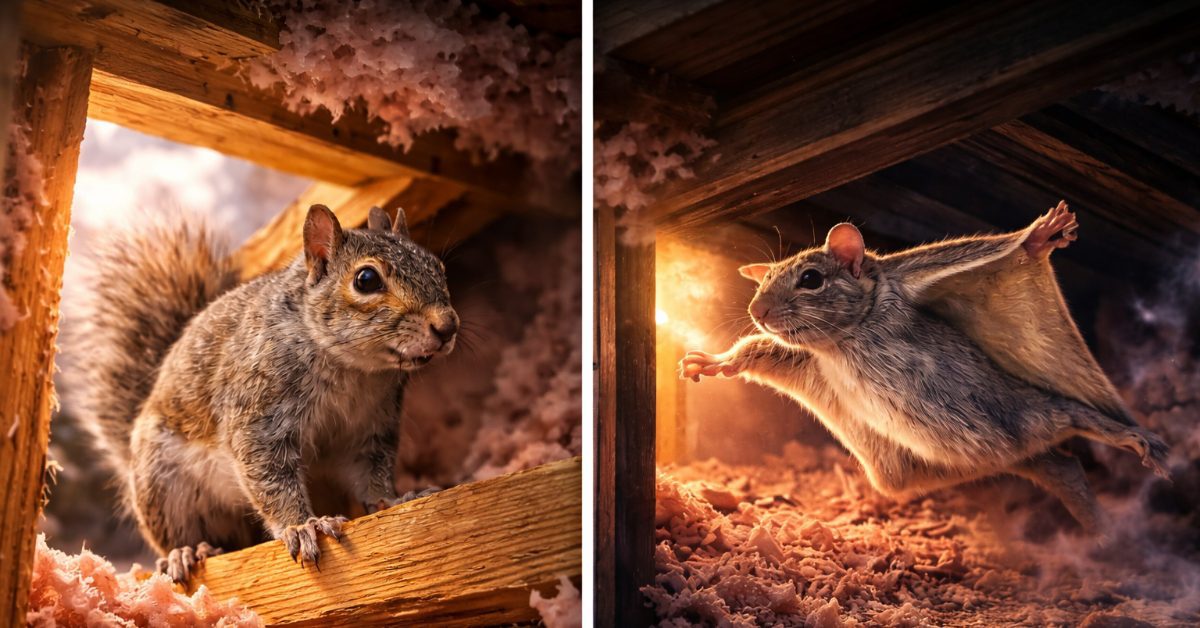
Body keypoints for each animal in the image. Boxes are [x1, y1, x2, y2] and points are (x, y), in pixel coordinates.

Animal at [69, 205, 457, 582]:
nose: (447, 326)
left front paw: (394, 500)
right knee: (181, 533)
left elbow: (371, 475)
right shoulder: (258, 410)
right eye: (366, 280)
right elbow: (270, 477)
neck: (356, 371)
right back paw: (188, 551)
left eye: (439, 267)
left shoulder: (370, 428)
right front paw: (303, 526)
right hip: (163, 484)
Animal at [681, 202, 1169, 534]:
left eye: (812, 280)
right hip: (945, 465)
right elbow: (756, 349)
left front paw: (1035, 237)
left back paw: (1133, 438)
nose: (757, 309)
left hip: (1029, 412)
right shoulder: (802, 357)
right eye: (762, 280)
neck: (842, 343)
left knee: (1079, 418)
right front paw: (710, 361)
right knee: (1061, 464)